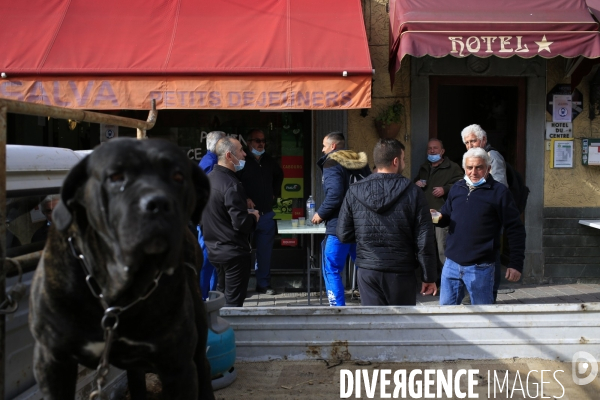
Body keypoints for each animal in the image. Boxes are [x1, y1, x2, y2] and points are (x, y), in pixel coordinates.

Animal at [28, 138, 216, 400]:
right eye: (115, 176)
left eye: (178, 176)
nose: (158, 203)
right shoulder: (51, 360)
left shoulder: (177, 365)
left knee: (203, 367)